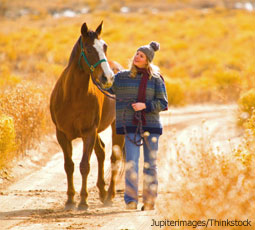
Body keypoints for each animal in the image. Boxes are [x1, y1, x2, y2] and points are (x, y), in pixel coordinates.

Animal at [49, 22, 124, 210]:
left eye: (105, 46)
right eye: (89, 49)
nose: (108, 77)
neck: (73, 96)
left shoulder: (88, 132)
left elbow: (84, 165)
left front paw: (83, 201)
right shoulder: (61, 134)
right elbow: (69, 165)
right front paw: (70, 200)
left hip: (115, 127)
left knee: (114, 157)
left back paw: (109, 196)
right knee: (102, 151)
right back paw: (102, 191)